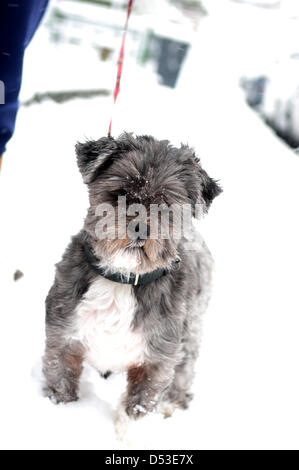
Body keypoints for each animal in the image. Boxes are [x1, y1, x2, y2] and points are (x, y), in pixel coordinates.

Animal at [43, 131, 223, 436]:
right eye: (121, 193)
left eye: (167, 205)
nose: (140, 227)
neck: (123, 279)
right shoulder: (63, 336)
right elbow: (61, 383)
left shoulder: (157, 359)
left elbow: (138, 407)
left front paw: (126, 434)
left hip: (190, 334)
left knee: (183, 373)